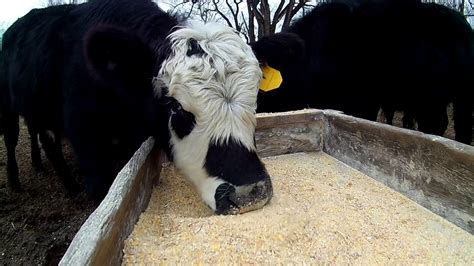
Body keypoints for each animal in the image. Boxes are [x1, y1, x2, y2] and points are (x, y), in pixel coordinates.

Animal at [0, 0, 272, 214]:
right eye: (175, 106)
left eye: (255, 99)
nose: (249, 192)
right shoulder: (90, 149)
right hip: (8, 109)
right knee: (15, 139)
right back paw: (19, 181)